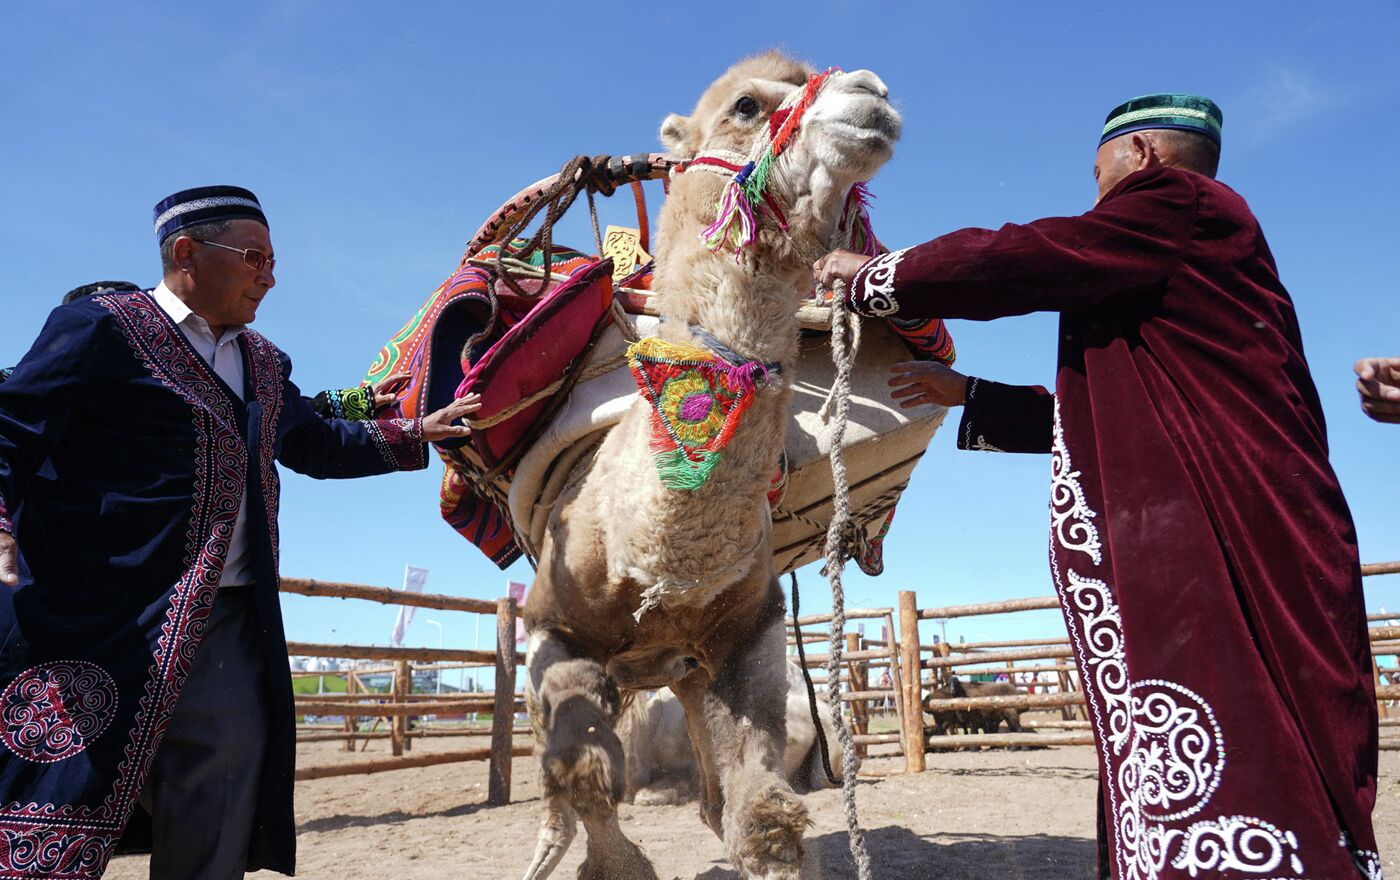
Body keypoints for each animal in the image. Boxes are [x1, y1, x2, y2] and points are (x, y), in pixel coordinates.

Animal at [520, 49, 901, 878]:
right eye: (747, 106)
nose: (873, 95)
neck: (656, 563)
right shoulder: (552, 629)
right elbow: (585, 773)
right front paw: (616, 865)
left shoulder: (745, 635)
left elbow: (761, 815)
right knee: (568, 785)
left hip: (685, 677)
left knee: (713, 797)